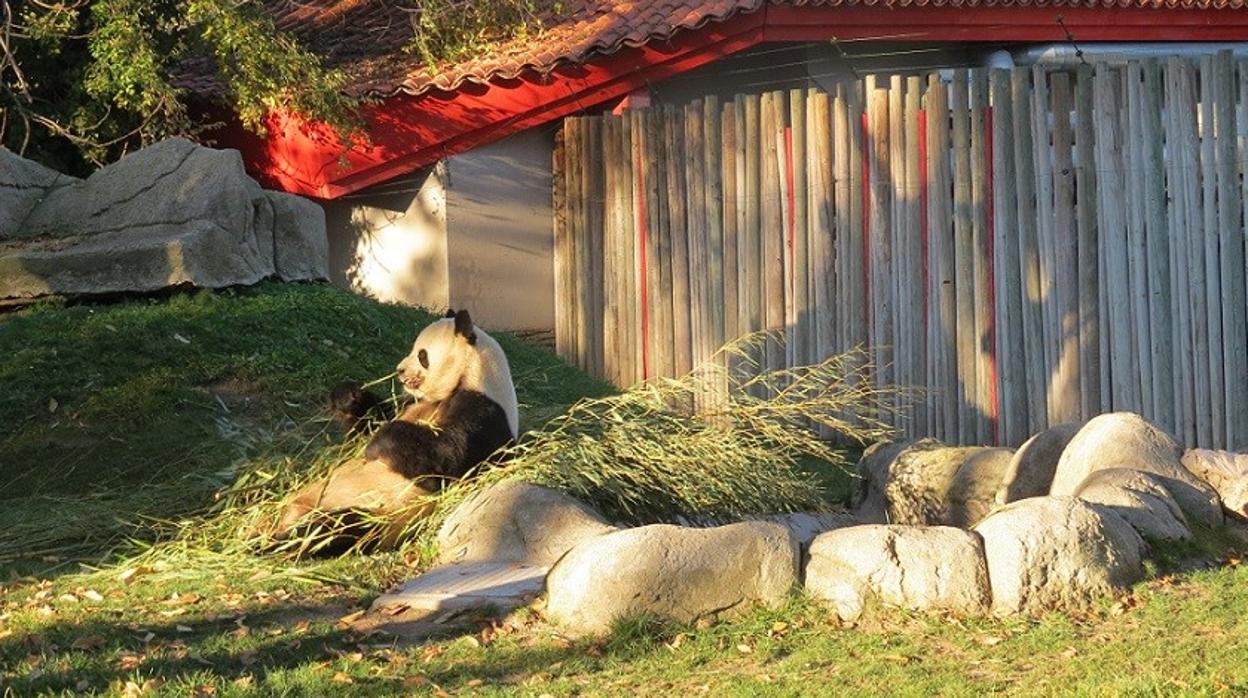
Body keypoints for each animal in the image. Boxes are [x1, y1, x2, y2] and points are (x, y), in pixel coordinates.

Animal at [273, 308, 521, 554]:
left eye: (422, 355)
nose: (400, 370)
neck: (467, 377)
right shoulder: (411, 403)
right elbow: (370, 422)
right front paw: (348, 397)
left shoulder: (485, 412)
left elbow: (446, 457)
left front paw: (378, 444)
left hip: (380, 513)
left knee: (338, 529)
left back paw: (285, 539)